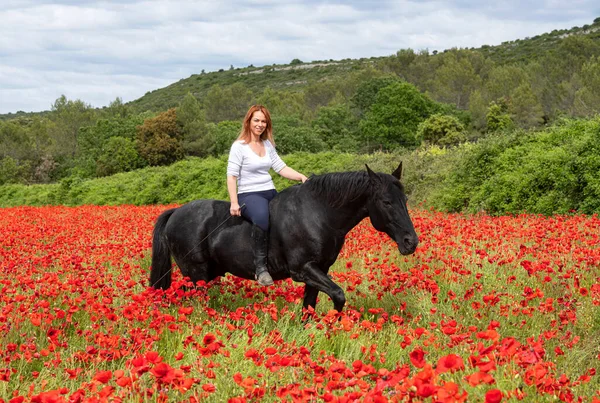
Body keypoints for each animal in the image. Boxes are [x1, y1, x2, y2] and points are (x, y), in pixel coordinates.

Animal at [151, 163, 418, 312]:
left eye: (405, 200)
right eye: (386, 202)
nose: (411, 242)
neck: (318, 213)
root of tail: (176, 212)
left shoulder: (319, 270)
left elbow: (309, 306)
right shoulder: (303, 269)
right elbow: (338, 295)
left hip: (205, 274)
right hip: (197, 275)